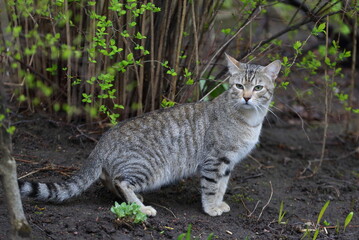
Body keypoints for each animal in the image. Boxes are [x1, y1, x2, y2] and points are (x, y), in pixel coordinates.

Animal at [17, 54, 282, 216]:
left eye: (258, 88)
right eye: (239, 86)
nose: (246, 97)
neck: (250, 120)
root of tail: (101, 143)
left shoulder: (227, 163)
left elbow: (222, 186)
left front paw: (219, 203)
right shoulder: (215, 159)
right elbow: (211, 186)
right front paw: (210, 208)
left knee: (109, 179)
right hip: (149, 168)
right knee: (121, 181)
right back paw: (140, 208)